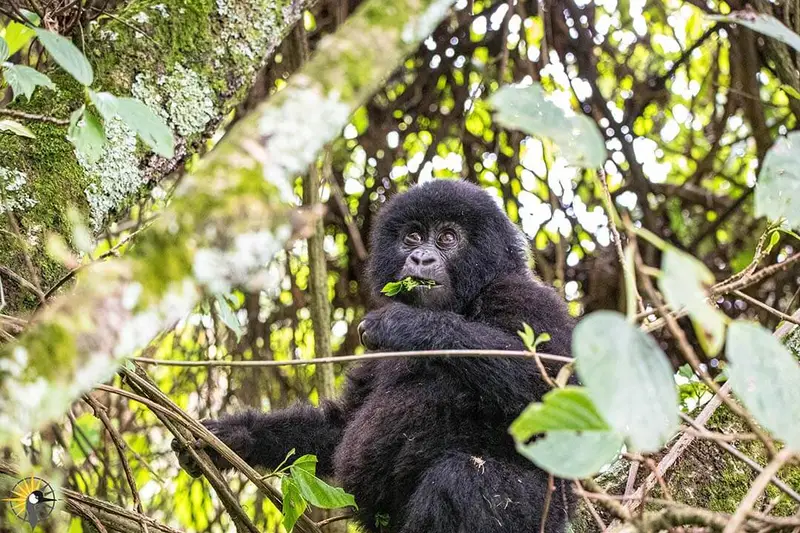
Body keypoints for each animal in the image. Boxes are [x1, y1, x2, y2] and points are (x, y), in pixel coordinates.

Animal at [173, 180, 576, 532]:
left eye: (448, 237)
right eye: (412, 236)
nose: (420, 257)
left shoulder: (526, 297)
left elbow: (558, 391)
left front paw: (408, 325)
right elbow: (339, 426)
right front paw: (231, 437)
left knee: (467, 481)